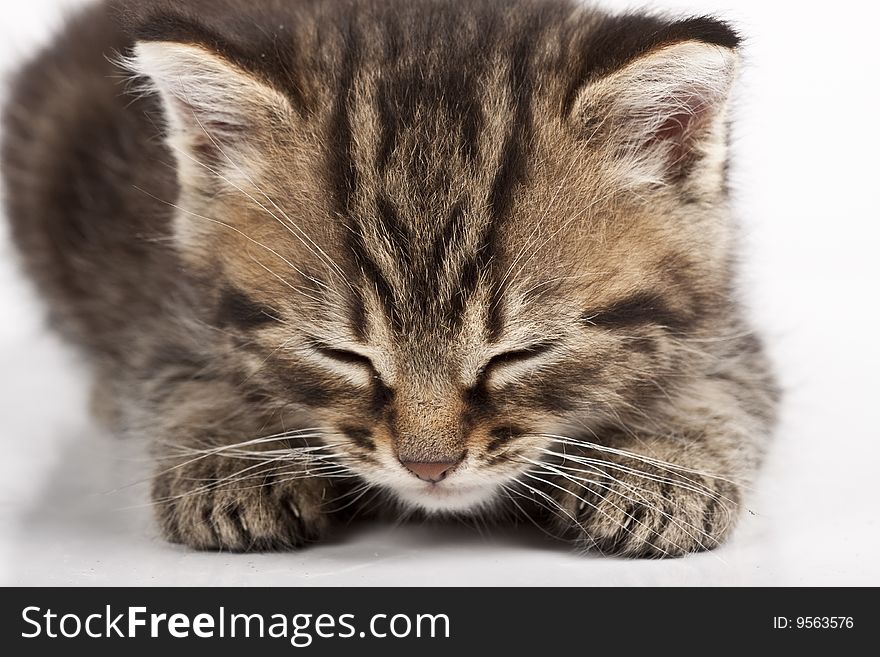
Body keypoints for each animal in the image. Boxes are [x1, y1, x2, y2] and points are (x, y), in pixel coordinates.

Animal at [1, 0, 776, 556]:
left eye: (521, 353)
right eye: (340, 354)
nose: (427, 467)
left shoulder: (723, 312)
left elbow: (729, 384)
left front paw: (662, 468)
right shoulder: (167, 298)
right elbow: (177, 371)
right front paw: (232, 461)